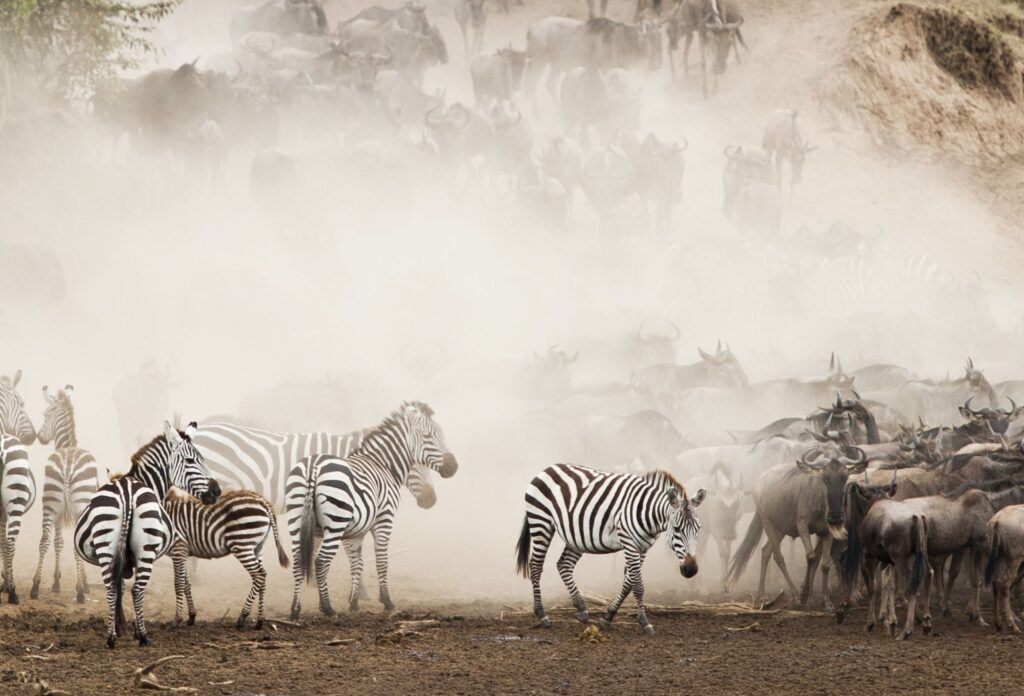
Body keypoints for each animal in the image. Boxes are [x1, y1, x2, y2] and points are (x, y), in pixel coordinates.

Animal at [31, 385, 104, 602]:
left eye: (45, 414)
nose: (39, 437)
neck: (68, 444)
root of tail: (67, 466)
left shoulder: (59, 512)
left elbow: (57, 542)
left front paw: (56, 582)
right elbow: (68, 544)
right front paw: (81, 583)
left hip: (49, 502)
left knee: (44, 539)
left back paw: (35, 586)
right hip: (78, 505)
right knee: (72, 544)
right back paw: (79, 591)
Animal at [74, 420, 221, 648]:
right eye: (190, 460)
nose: (216, 492)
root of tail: (127, 492)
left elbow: (120, 586)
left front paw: (120, 628)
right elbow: (129, 588)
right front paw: (133, 630)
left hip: (106, 545)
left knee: (111, 588)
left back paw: (110, 638)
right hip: (147, 549)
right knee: (137, 589)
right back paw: (144, 636)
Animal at [163, 489, 289, 629]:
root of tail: (263, 502)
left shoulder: (178, 549)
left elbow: (178, 583)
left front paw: (176, 620)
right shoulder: (183, 553)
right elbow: (186, 584)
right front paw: (191, 617)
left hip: (242, 544)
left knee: (259, 574)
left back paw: (242, 617)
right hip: (258, 546)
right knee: (263, 576)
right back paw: (259, 621)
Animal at [286, 401, 458, 620]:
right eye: (427, 436)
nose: (454, 467)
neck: (383, 464)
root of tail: (313, 467)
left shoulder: (356, 531)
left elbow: (357, 563)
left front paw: (353, 603)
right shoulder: (384, 518)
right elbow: (382, 560)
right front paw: (387, 602)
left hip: (296, 520)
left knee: (299, 561)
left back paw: (295, 609)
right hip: (335, 523)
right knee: (322, 560)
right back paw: (327, 608)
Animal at [515, 464, 705, 635]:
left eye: (698, 529)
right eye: (677, 529)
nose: (691, 570)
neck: (648, 514)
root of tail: (548, 468)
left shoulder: (642, 548)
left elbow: (628, 582)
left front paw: (608, 617)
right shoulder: (629, 542)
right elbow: (638, 585)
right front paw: (644, 623)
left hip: (576, 537)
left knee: (564, 565)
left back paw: (581, 609)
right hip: (541, 522)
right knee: (536, 566)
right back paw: (542, 615)